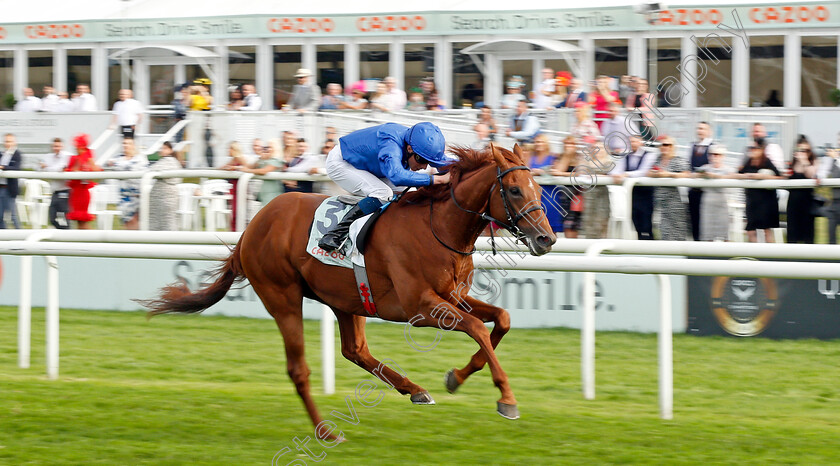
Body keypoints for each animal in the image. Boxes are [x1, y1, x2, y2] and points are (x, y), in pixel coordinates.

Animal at [141, 144, 556, 432]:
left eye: (538, 187)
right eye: (514, 190)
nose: (547, 239)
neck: (438, 227)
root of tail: (251, 227)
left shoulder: (452, 296)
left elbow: (501, 319)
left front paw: (457, 376)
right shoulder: (420, 306)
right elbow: (477, 329)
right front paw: (506, 398)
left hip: (347, 299)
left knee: (355, 350)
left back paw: (414, 389)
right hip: (283, 296)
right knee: (305, 366)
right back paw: (330, 428)